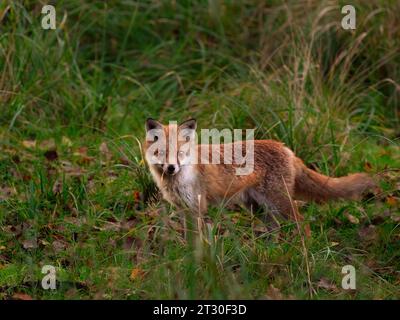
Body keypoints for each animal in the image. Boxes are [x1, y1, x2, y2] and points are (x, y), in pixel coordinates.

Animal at [143, 117, 376, 225]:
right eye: (162, 153)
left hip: (279, 202)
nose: (171, 168)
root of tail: (286, 148)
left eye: (180, 153)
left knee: (302, 223)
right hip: (259, 207)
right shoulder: (183, 209)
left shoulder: (197, 207)